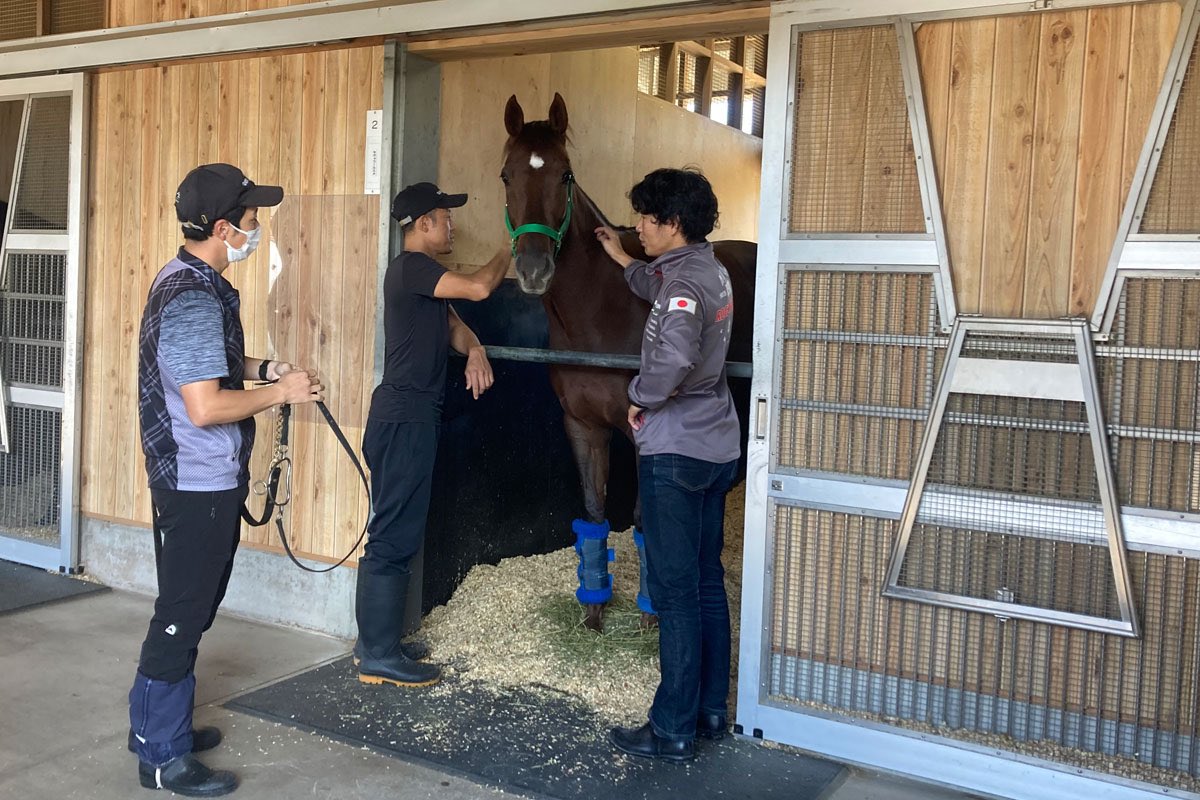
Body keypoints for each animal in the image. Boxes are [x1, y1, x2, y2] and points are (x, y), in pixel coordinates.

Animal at [501, 92, 757, 630]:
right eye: (506, 175)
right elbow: (595, 512)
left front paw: (651, 616)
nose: (534, 269)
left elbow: (643, 521)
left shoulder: (646, 437)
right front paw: (594, 611)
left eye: (565, 174)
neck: (602, 310)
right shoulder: (582, 426)